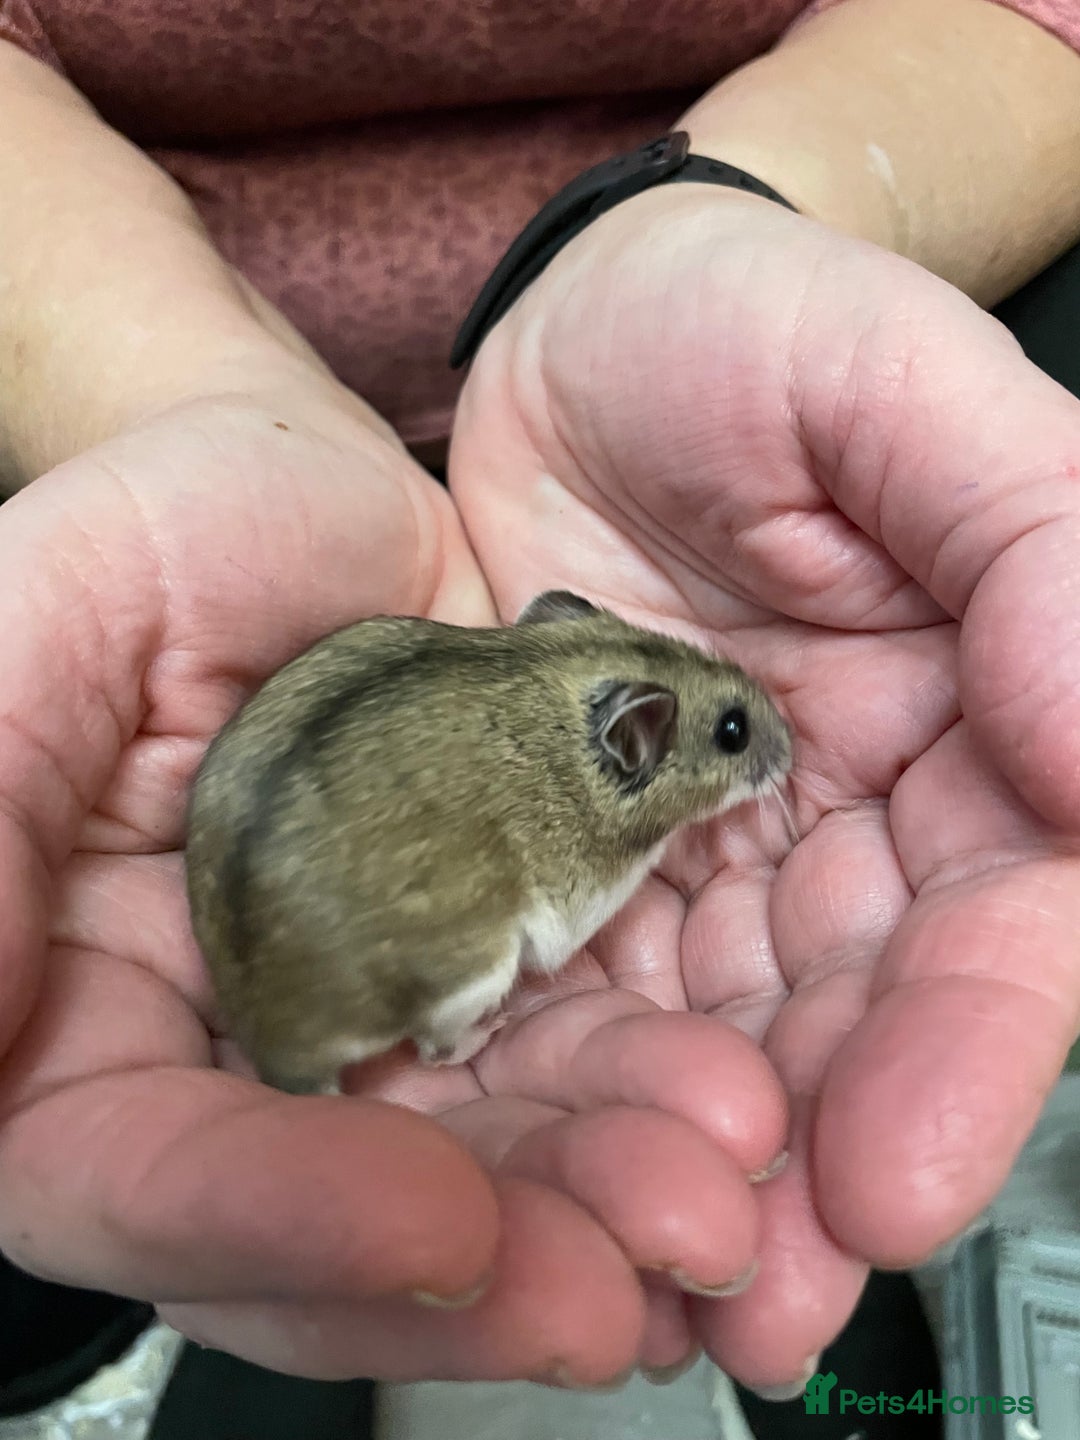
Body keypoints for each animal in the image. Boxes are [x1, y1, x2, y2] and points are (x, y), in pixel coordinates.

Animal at [185, 591, 793, 1094]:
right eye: (733, 731)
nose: (792, 747)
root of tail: (280, 1060)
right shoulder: (580, 902)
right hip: (476, 973)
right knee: (434, 1050)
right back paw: (495, 1027)